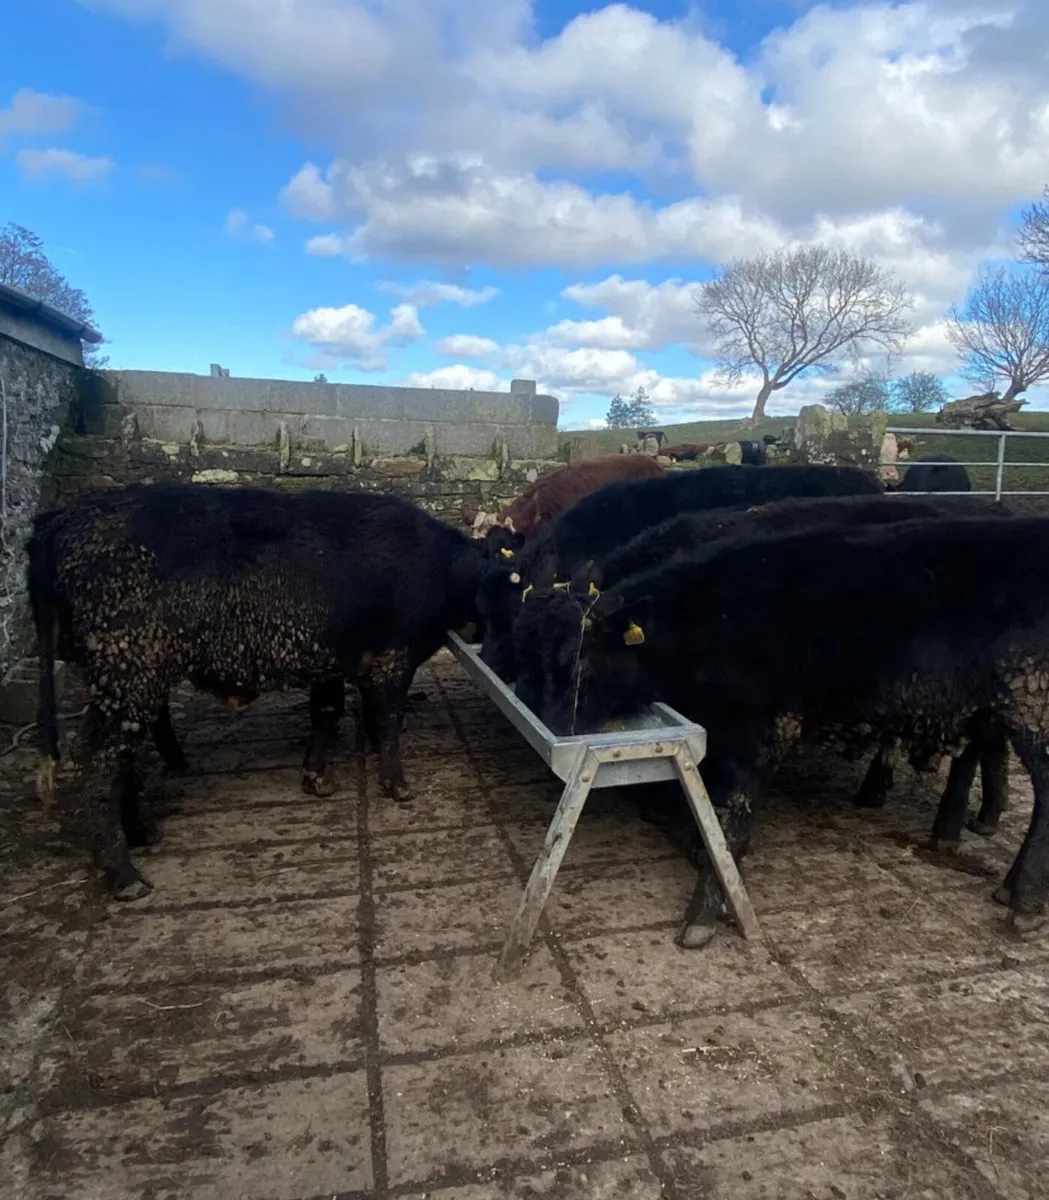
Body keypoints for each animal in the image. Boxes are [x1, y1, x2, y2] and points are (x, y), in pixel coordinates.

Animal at [28, 482, 490, 900]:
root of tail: (62, 520)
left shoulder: (329, 660)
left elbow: (327, 712)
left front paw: (317, 781)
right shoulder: (396, 654)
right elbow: (389, 720)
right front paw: (400, 789)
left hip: (114, 680)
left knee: (103, 753)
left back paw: (146, 832)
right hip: (130, 671)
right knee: (99, 759)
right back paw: (128, 878)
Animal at [533, 516, 1049, 947]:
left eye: (579, 663)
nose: (555, 726)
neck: (707, 623)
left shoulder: (763, 731)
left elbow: (731, 823)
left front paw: (703, 915)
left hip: (1032, 703)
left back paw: (1024, 902)